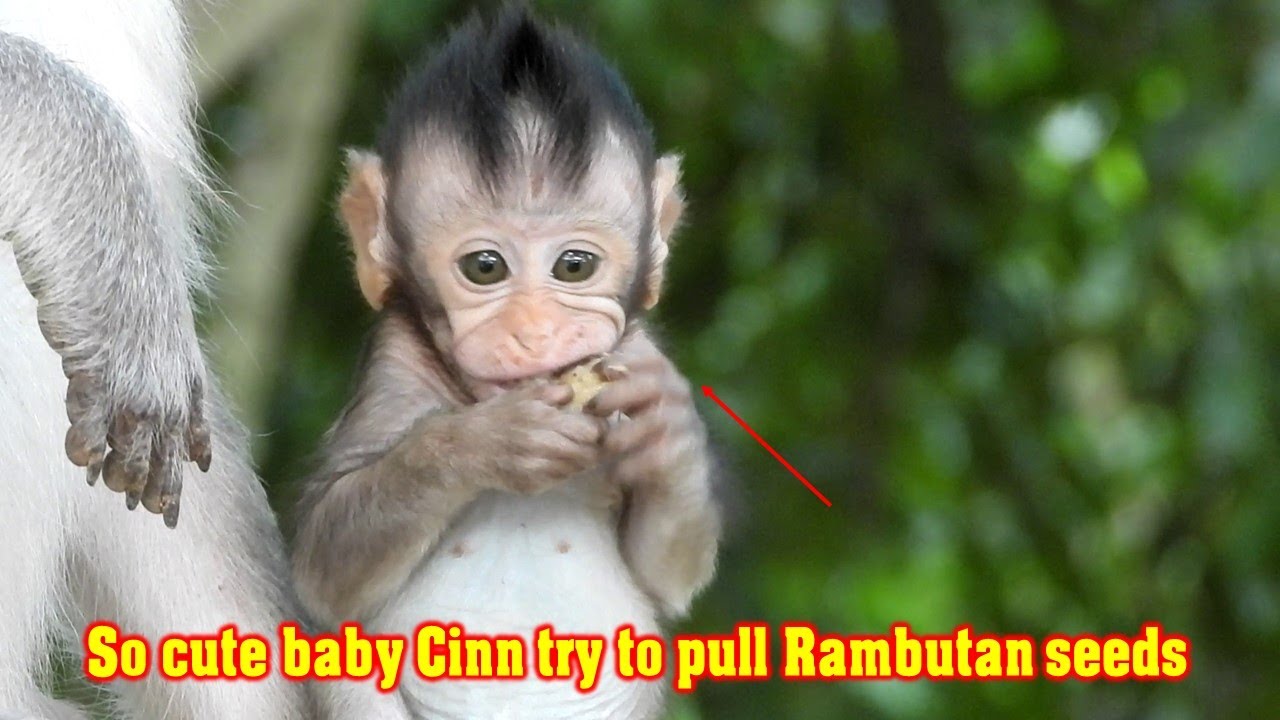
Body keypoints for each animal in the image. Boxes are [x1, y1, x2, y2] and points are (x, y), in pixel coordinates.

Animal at [291, 8, 723, 720]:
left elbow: (670, 570)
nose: (535, 330)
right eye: (485, 267)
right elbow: (325, 567)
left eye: (575, 266)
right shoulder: (393, 362)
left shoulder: (637, 351)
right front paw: (488, 441)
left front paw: (670, 431)